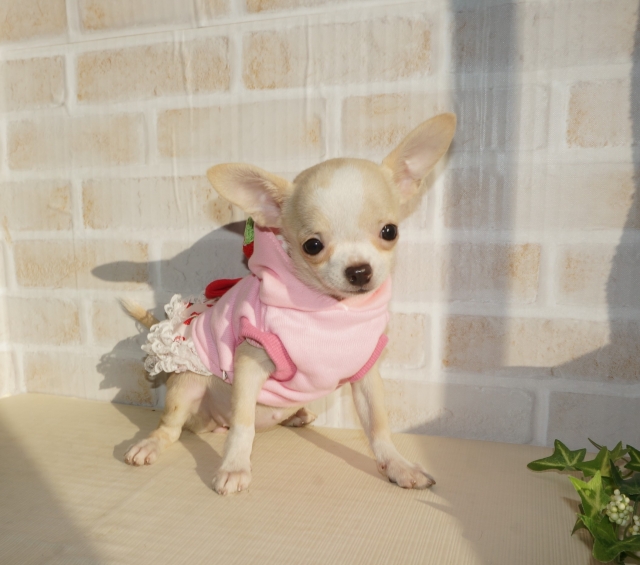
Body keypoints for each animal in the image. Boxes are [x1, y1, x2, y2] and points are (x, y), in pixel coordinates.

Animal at [122, 113, 456, 495]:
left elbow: (378, 426)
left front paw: (398, 466)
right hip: (188, 384)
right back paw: (150, 444)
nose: (359, 271)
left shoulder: (365, 373)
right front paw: (235, 466)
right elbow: (243, 424)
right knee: (172, 428)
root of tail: (208, 423)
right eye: (312, 245)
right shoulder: (250, 361)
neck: (332, 312)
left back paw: (296, 415)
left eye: (390, 231)